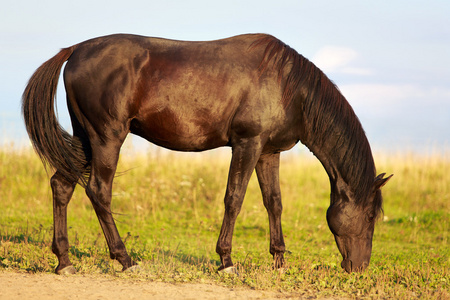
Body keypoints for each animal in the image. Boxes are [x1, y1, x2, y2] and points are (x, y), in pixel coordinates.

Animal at [22, 32, 392, 274]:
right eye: (370, 216)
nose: (360, 268)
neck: (288, 86)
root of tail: (75, 50)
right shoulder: (247, 144)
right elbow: (234, 199)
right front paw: (226, 261)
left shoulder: (268, 152)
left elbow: (274, 203)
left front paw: (279, 261)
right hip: (106, 138)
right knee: (99, 192)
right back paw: (124, 259)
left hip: (84, 137)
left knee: (62, 186)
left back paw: (64, 261)